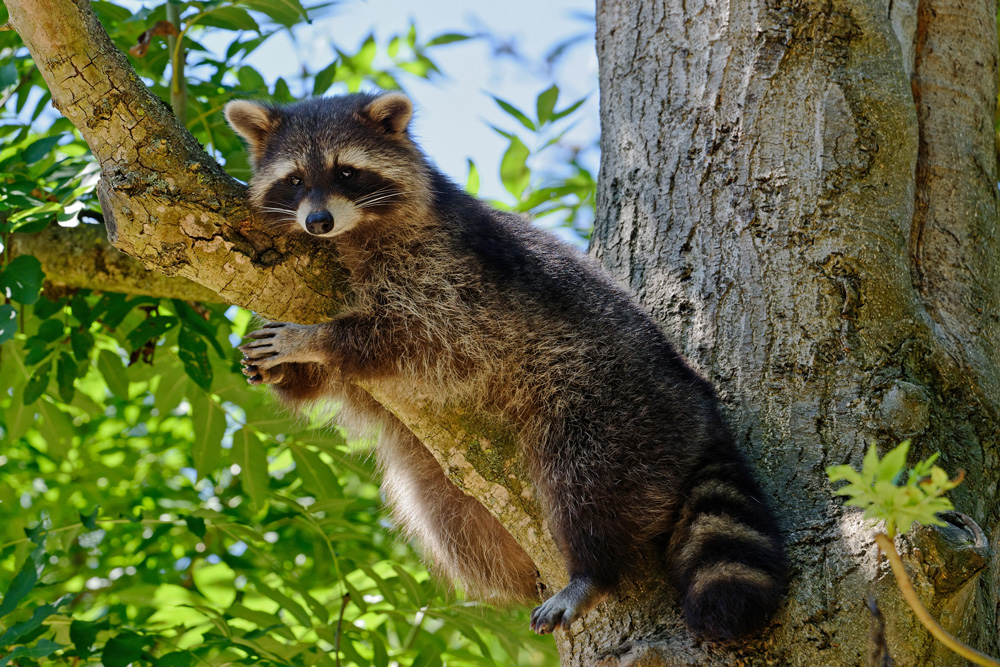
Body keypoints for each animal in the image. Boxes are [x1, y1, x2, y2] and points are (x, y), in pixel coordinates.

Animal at [223, 91, 784, 640]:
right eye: (295, 180)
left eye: (345, 172)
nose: (318, 222)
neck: (348, 237)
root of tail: (698, 400)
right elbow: (339, 384)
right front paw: (287, 370)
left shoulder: (447, 271)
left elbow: (422, 335)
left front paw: (316, 341)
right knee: (440, 511)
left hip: (610, 401)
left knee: (587, 481)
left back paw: (592, 570)